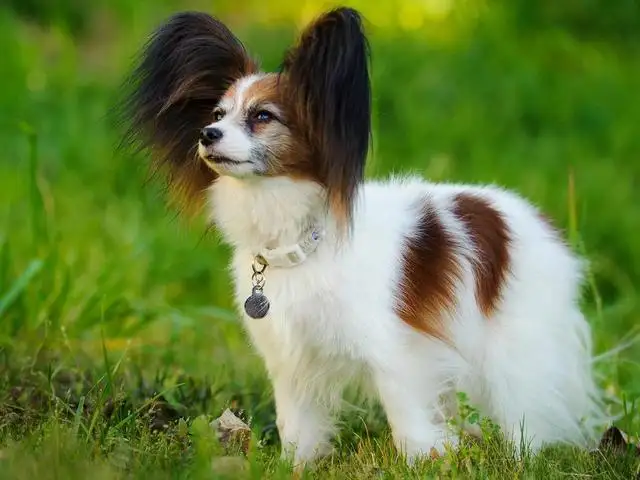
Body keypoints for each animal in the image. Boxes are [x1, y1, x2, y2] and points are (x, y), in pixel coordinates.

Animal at [120, 5, 604, 466]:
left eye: (262, 117)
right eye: (217, 115)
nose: (207, 134)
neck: (300, 241)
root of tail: (529, 216)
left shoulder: (397, 351)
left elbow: (407, 412)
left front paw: (425, 460)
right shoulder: (292, 357)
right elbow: (297, 421)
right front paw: (297, 463)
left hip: (511, 343)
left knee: (523, 403)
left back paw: (523, 455)